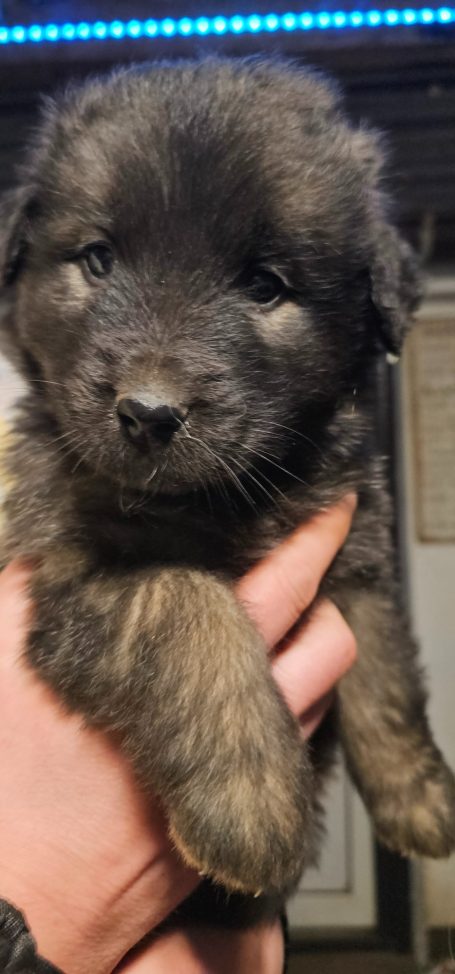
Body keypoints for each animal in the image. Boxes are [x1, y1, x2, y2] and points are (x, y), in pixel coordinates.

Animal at [0, 57, 454, 929]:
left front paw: (417, 793)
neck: (224, 498)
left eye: (264, 285)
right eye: (98, 259)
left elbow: (384, 665)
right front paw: (251, 808)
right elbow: (193, 612)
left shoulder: (351, 539)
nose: (148, 413)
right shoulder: (78, 573)